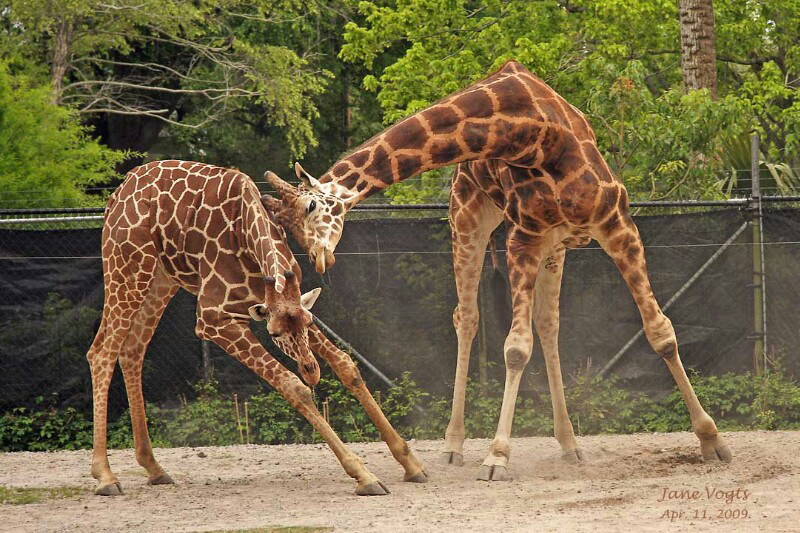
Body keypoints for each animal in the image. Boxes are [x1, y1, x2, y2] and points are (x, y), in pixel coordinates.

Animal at [86, 160, 424, 496]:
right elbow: (293, 386)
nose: (312, 371)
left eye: (309, 322)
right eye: (273, 334)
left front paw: (411, 463)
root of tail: (118, 193)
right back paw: (105, 476)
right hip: (126, 268)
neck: (246, 236)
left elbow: (345, 365)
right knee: (101, 351)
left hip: (161, 279)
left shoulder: (292, 302)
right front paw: (364, 475)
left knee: (132, 350)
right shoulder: (213, 320)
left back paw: (154, 468)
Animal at [266, 60, 736, 480]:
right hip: (468, 217)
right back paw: (454, 446)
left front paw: (712, 440)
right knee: (468, 317)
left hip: (553, 246)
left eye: (311, 207)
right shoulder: (523, 237)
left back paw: (570, 444)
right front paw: (496, 455)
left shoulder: (616, 224)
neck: (537, 138)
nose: (317, 260)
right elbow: (514, 349)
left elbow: (661, 332)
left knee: (548, 323)